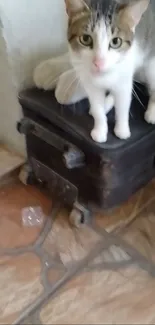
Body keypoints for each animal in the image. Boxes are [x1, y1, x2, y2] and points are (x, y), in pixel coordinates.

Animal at [64, 0, 155, 142]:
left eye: (116, 41)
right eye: (85, 39)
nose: (99, 62)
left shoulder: (124, 81)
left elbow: (123, 107)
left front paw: (122, 130)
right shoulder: (90, 84)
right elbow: (97, 109)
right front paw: (100, 130)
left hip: (150, 64)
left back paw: (152, 112)